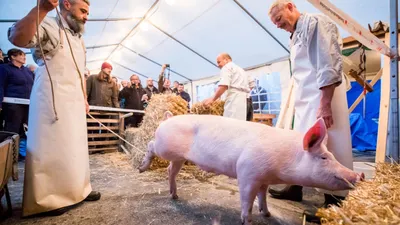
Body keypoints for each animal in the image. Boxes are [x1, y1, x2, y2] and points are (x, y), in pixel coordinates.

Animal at [138, 111, 366, 224]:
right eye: (323, 157)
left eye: (332, 156)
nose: (360, 175)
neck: (283, 162)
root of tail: (167, 119)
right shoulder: (248, 173)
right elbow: (247, 200)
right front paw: (248, 221)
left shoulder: (264, 179)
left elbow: (263, 196)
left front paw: (267, 214)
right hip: (164, 147)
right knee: (150, 145)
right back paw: (141, 168)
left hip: (178, 158)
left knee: (170, 171)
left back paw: (175, 196)